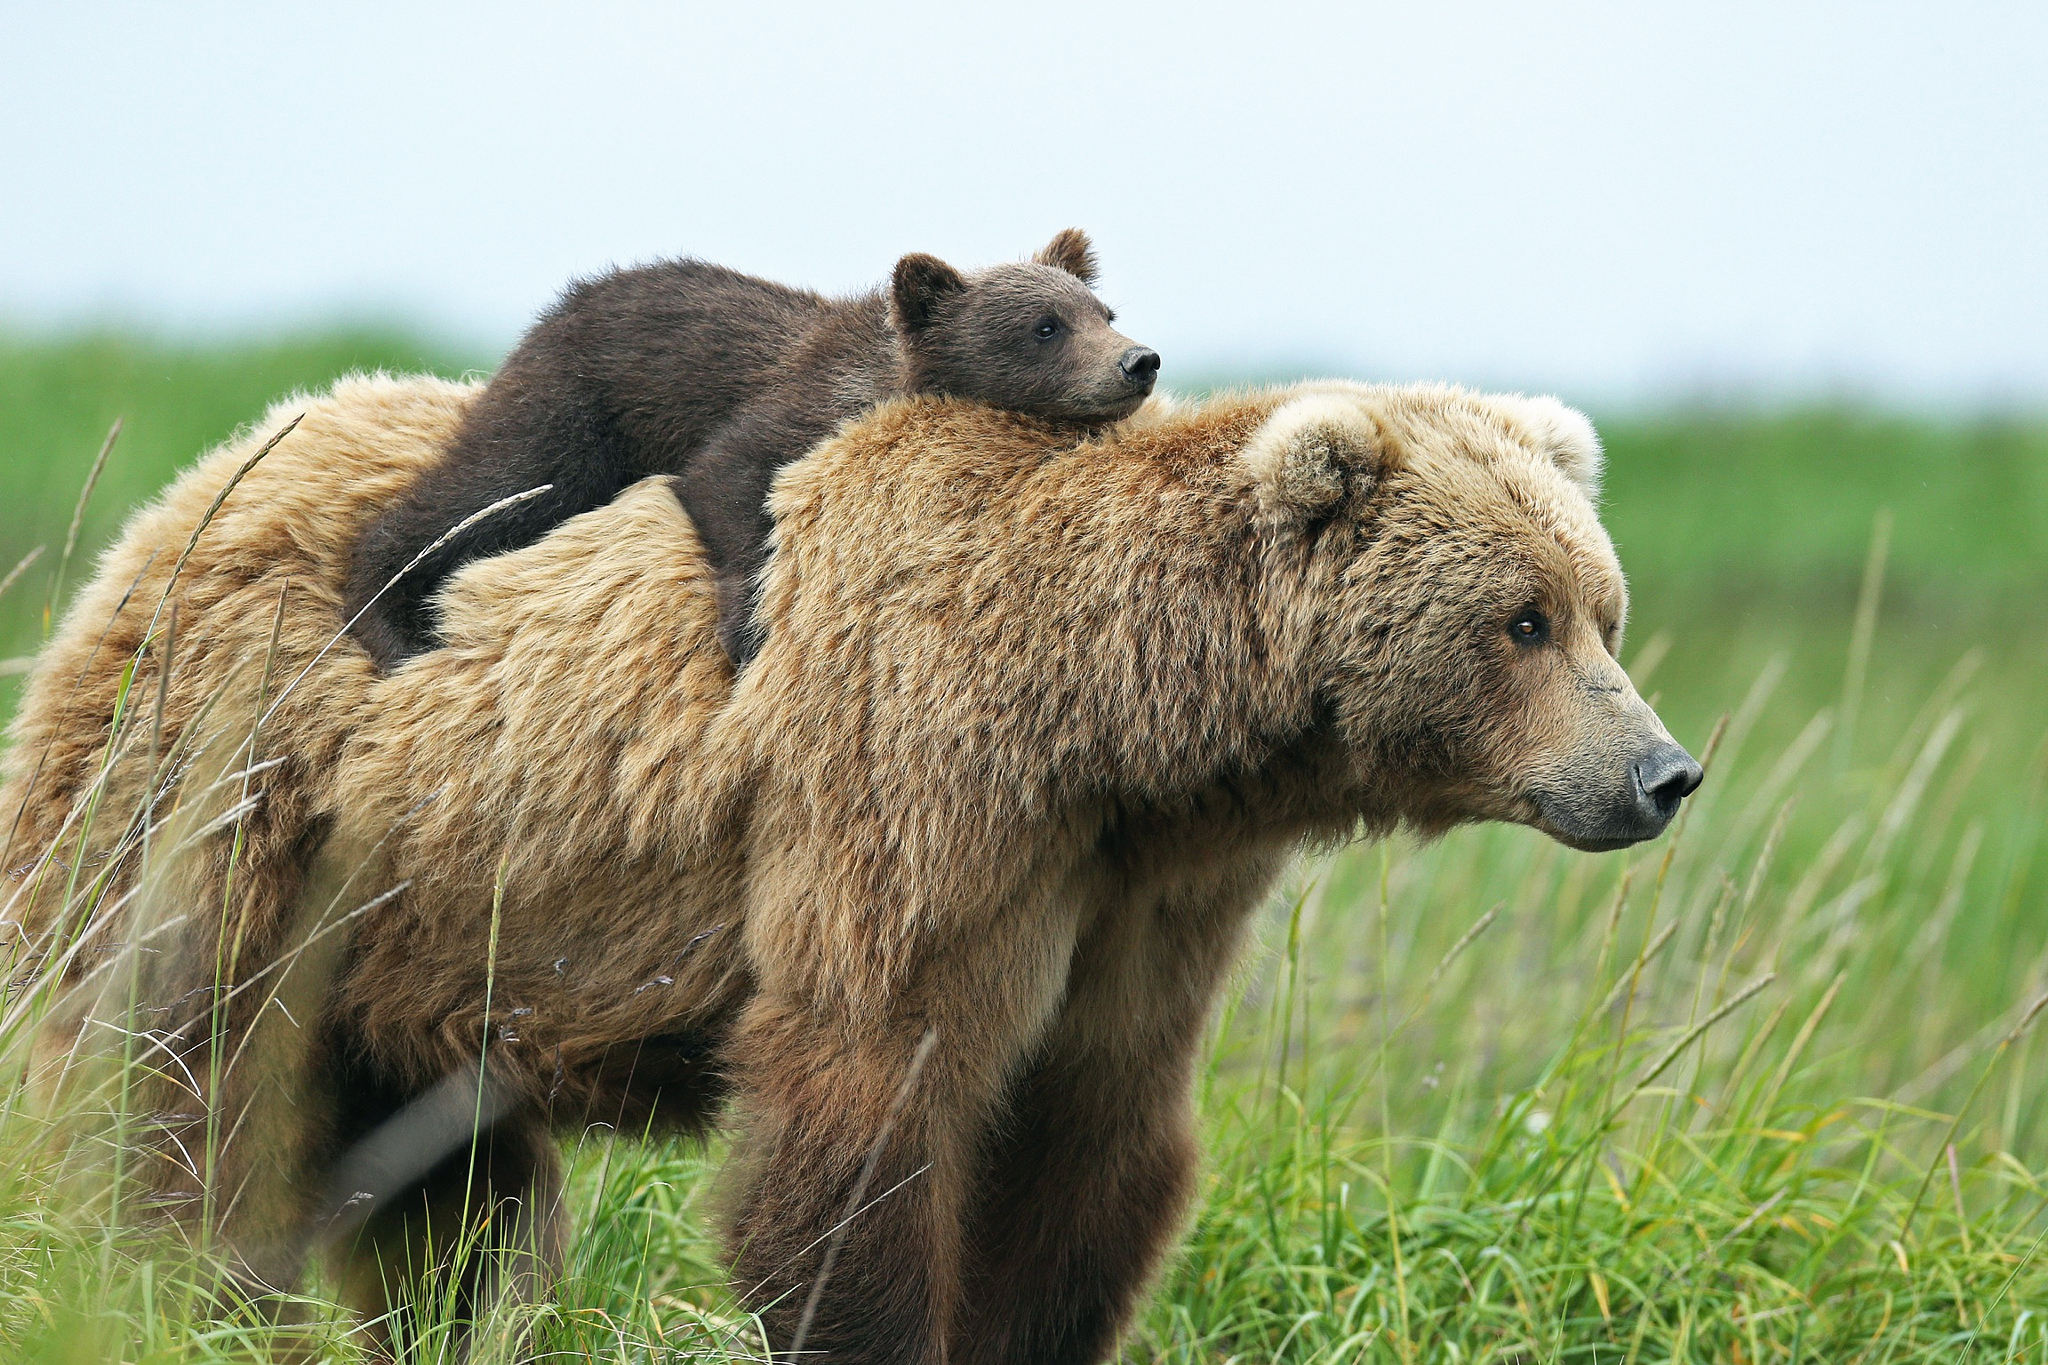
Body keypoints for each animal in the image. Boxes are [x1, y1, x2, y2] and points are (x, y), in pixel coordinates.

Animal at [0, 376, 1695, 1365]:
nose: (1661, 773)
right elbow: (864, 1113)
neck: (1115, 726)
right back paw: (167, 1300)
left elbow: (1090, 1143)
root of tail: (186, 488)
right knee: (172, 1093)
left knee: (444, 1195)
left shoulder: (1137, 896)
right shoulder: (915, 799)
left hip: (422, 937)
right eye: (1523, 619)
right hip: (233, 804)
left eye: (1602, 606)